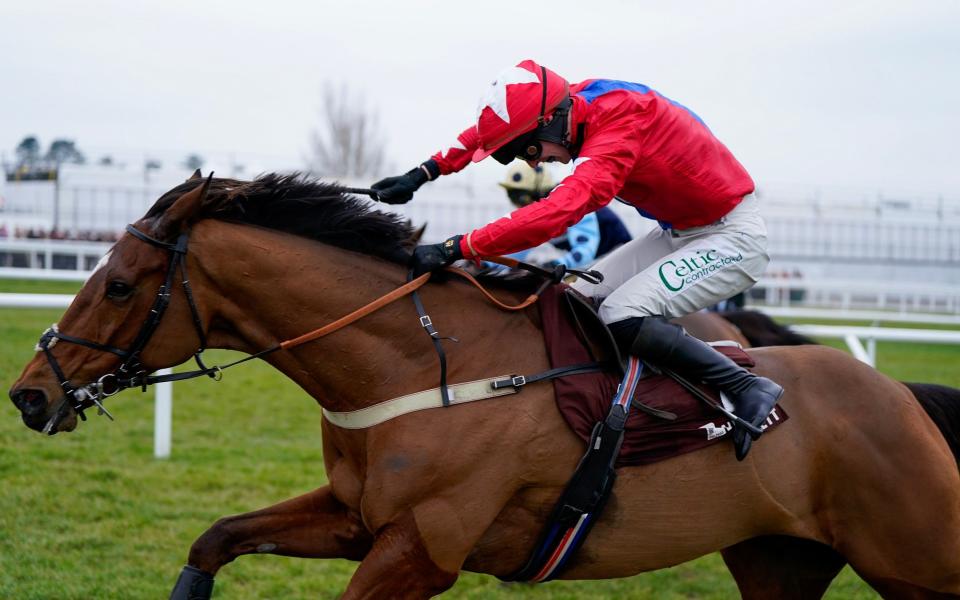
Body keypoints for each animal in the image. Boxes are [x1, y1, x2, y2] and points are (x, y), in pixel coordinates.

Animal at [9, 172, 960, 596]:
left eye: (119, 285)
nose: (29, 393)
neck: (423, 363)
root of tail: (903, 396)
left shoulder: (422, 550)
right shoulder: (356, 518)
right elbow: (215, 539)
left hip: (916, 558)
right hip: (779, 557)